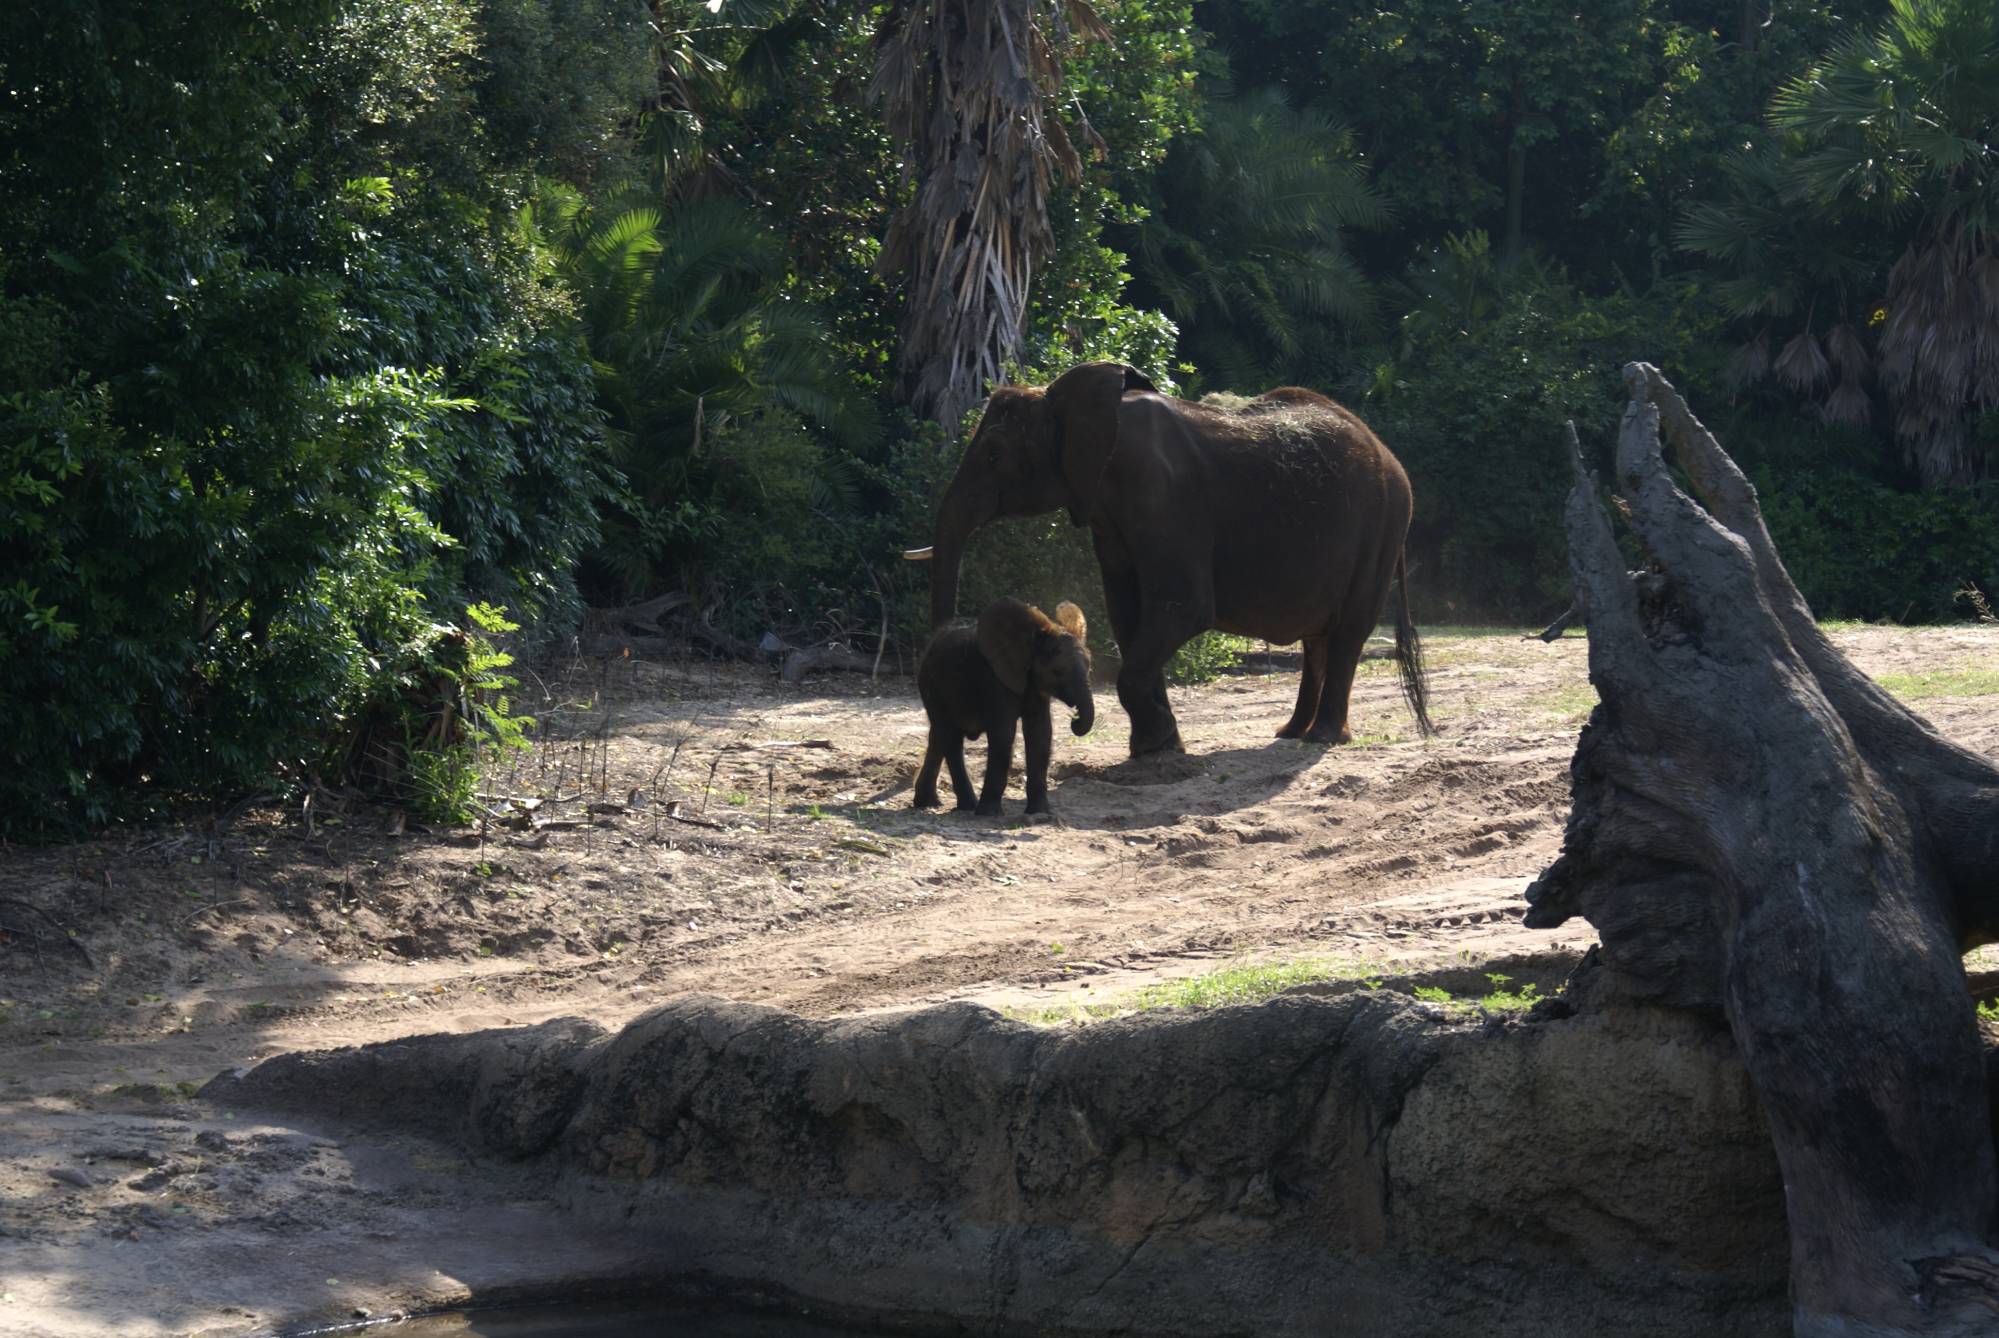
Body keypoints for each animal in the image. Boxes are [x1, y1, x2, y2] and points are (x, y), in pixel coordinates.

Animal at [907, 360, 1439, 756]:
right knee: (1317, 639)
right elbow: (1127, 613)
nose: (1077, 724)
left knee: (1347, 632)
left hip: (1384, 523)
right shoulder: (1111, 514)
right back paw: (1291, 733)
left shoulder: (1160, 496)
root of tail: (1387, 452)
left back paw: (1322, 738)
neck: (1071, 401)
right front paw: (1158, 747)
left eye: (995, 454)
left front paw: (1157, 745)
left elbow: (1181, 607)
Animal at [915, 596, 1095, 816]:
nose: (1074, 720)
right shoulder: (995, 679)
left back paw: (932, 803)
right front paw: (989, 814)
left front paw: (1040, 813)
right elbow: (1004, 733)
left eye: (1090, 668)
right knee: (948, 735)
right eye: (1057, 671)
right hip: (932, 685)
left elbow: (1040, 733)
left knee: (939, 736)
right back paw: (963, 806)